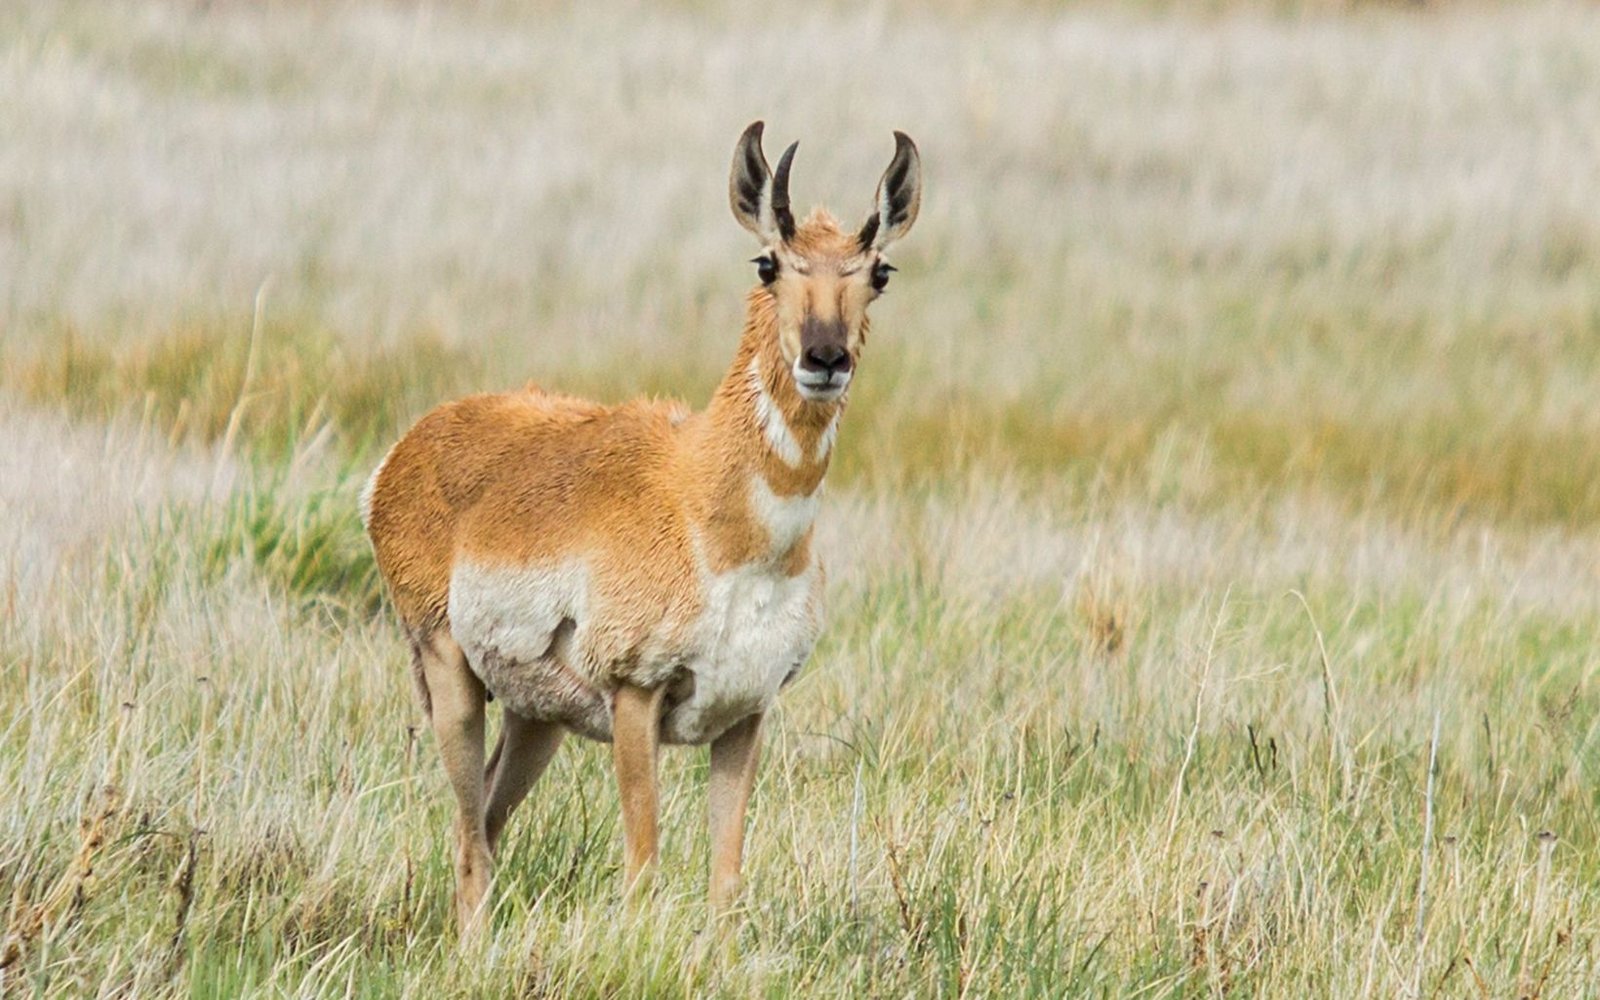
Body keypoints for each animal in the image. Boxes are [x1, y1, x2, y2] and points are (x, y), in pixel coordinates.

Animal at [358, 120, 921, 934]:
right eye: (768, 263)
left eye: (879, 271)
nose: (826, 357)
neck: (708, 509)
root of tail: (413, 443)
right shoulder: (635, 697)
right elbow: (643, 867)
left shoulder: (747, 713)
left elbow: (726, 880)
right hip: (449, 674)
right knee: (468, 838)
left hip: (537, 717)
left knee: (488, 822)